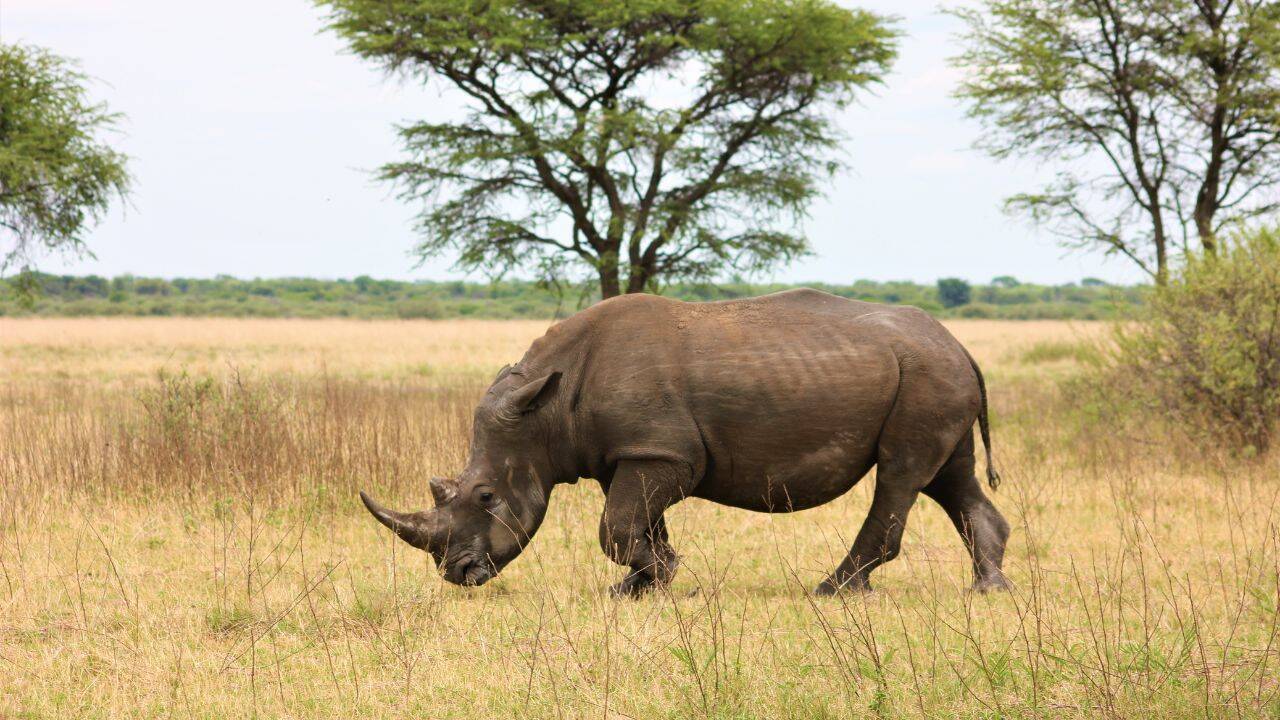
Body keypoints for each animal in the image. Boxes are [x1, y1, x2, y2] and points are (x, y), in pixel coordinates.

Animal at [360, 289, 1011, 596]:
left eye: (487, 497)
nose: (458, 574)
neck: (545, 412)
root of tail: (960, 344)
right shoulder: (635, 452)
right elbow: (638, 525)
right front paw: (639, 587)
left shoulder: (662, 452)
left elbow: (617, 528)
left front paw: (667, 577)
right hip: (933, 375)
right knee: (948, 477)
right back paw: (988, 589)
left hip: (925, 375)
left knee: (900, 473)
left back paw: (834, 591)